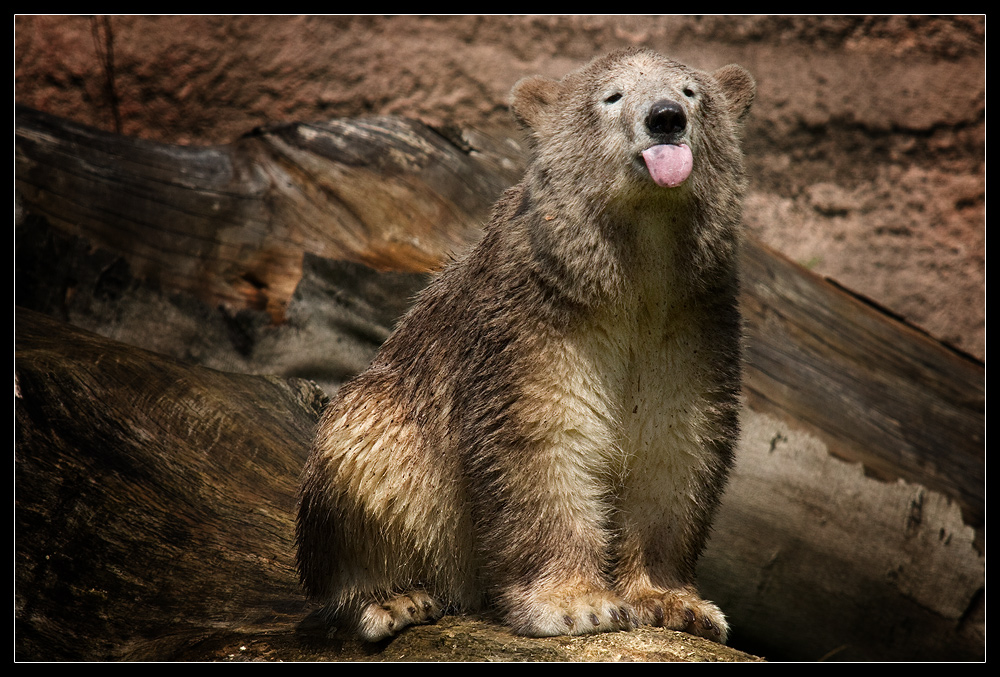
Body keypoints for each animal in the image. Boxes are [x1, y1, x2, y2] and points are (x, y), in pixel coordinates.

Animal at [292, 48, 752, 644]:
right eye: (613, 96)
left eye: (692, 92)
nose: (666, 117)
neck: (630, 277)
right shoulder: (533, 318)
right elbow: (545, 440)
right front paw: (577, 604)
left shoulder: (694, 318)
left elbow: (673, 444)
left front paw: (678, 604)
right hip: (384, 423)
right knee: (369, 452)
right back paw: (392, 599)